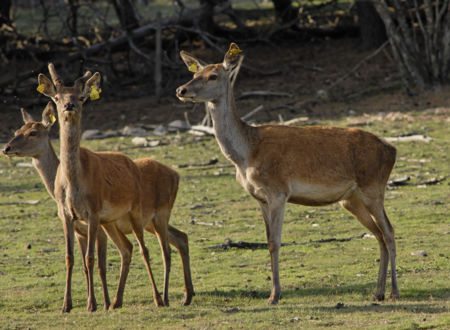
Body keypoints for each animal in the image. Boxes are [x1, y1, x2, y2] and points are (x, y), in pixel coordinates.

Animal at [2, 104, 111, 312]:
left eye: (33, 132)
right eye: (17, 130)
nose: (6, 148)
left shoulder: (98, 228)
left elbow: (99, 265)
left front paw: (103, 303)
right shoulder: (79, 231)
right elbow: (83, 265)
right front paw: (84, 302)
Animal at [35, 65, 195, 312]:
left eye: (81, 97)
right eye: (57, 97)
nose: (69, 106)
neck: (72, 185)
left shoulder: (93, 212)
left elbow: (90, 258)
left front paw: (91, 304)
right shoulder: (66, 214)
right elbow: (70, 258)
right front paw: (66, 305)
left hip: (139, 213)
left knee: (148, 250)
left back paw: (160, 299)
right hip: (115, 222)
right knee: (135, 247)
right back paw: (123, 301)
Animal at [178, 43, 400, 304]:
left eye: (213, 75)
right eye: (195, 73)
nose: (181, 89)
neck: (246, 154)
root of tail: (391, 149)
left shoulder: (278, 191)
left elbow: (275, 242)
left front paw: (274, 295)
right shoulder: (260, 198)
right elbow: (267, 240)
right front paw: (274, 292)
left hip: (374, 187)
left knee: (389, 231)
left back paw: (394, 292)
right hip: (351, 200)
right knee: (378, 234)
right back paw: (378, 292)